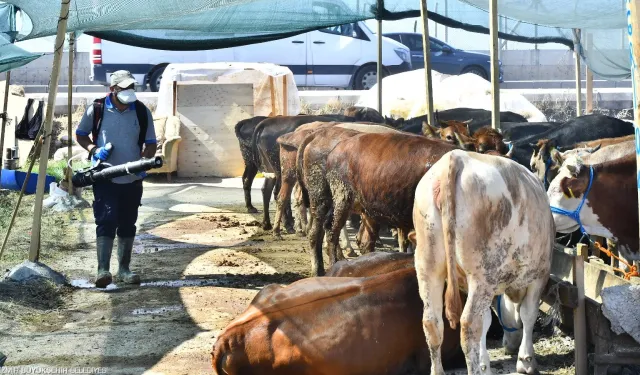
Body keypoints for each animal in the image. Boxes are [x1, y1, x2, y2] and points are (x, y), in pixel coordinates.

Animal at [412, 149, 552, 375]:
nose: (508, 346)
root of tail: (455, 157)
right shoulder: (539, 276)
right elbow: (528, 315)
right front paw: (526, 360)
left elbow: (487, 321)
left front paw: (485, 363)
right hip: (482, 274)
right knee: (469, 325)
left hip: (428, 266)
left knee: (432, 322)